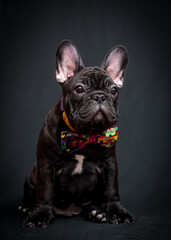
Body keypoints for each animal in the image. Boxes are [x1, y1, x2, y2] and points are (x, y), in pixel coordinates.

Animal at [18, 39, 135, 227]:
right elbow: (45, 193)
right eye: (79, 89)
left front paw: (117, 212)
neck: (84, 134)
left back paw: (97, 212)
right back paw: (27, 207)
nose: (100, 96)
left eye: (114, 90)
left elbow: (112, 191)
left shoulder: (110, 164)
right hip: (31, 175)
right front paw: (39, 215)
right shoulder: (45, 165)